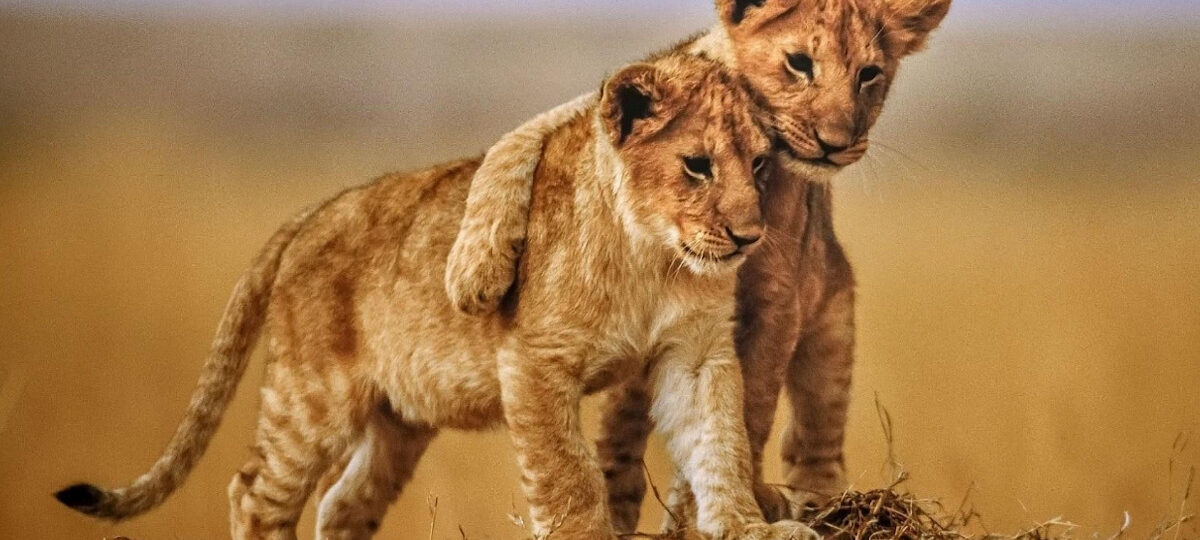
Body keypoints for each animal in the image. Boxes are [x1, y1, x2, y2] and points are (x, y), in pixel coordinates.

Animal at [53, 53, 819, 540]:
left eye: (759, 164)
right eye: (697, 166)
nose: (750, 235)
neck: (652, 257)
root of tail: (313, 212)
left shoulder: (694, 354)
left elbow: (720, 442)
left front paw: (750, 527)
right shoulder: (534, 361)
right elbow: (569, 476)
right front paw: (587, 531)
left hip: (399, 419)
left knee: (342, 503)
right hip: (312, 396)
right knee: (255, 493)